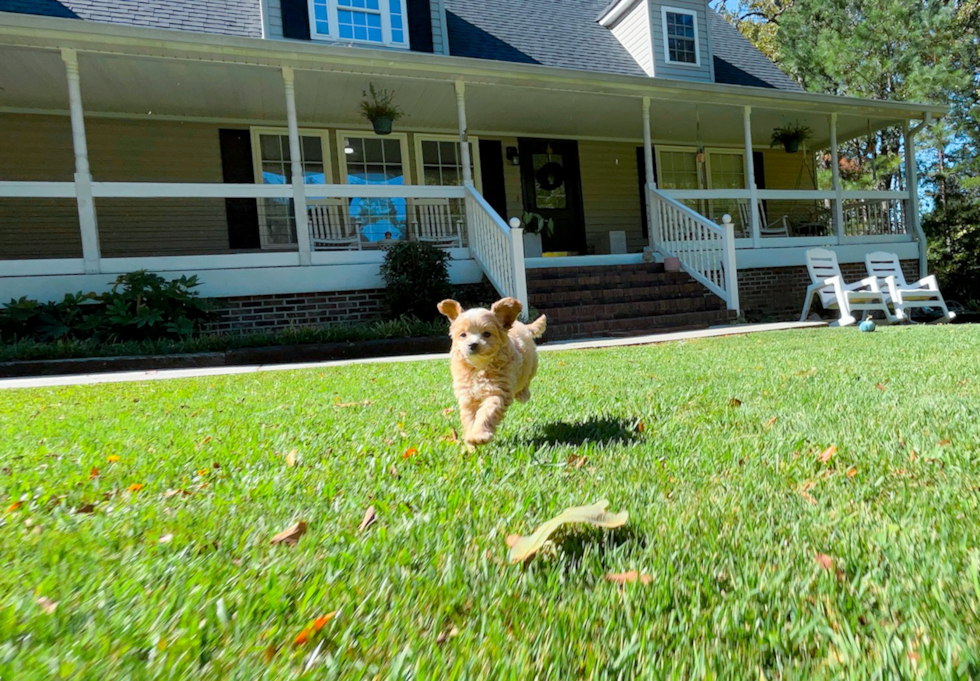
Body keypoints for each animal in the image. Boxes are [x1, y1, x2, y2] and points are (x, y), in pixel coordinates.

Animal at [438, 298, 548, 446]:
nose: (472, 344)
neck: (479, 367)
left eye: (486, 334)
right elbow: (469, 417)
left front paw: (479, 435)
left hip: (531, 364)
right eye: (463, 335)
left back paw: (523, 394)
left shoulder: (497, 391)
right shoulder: (468, 396)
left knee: (526, 379)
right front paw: (470, 437)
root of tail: (521, 325)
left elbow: (487, 413)